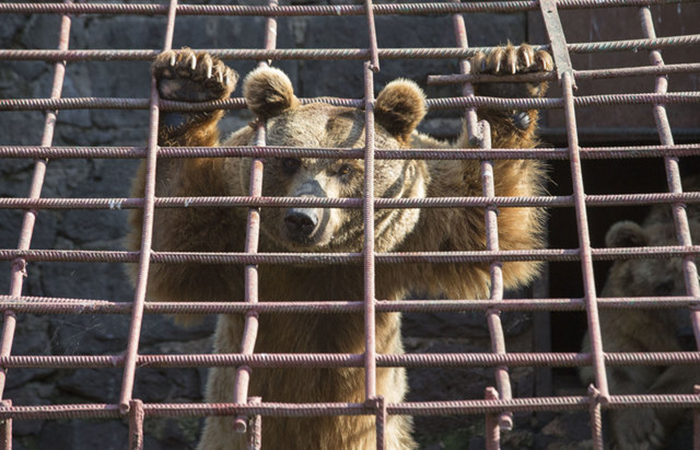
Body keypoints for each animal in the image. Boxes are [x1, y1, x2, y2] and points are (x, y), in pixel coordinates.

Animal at [127, 43, 552, 450]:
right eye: (290, 162)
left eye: (345, 168)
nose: (303, 217)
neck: (318, 264)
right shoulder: (230, 225)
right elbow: (175, 240)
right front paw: (190, 82)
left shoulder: (422, 211)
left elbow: (485, 218)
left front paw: (509, 80)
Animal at [580, 183, 700, 450]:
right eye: (663, 286)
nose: (689, 334)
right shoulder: (626, 319)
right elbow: (617, 360)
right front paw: (636, 431)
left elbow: (684, 374)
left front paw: (649, 432)